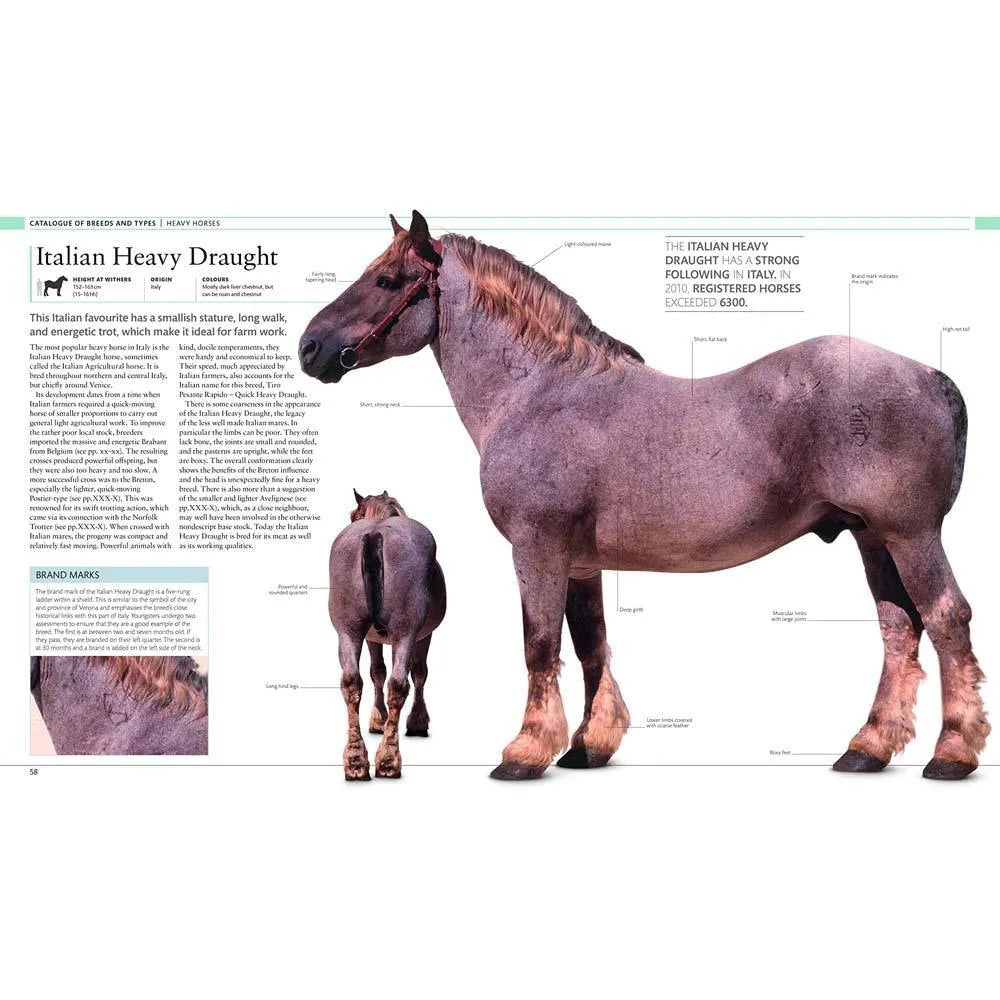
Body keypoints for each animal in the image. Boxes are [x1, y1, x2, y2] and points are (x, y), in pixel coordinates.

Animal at [328, 490, 446, 779]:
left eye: (353, 514)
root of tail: (375, 533)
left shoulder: (371, 637)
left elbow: (376, 673)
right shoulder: (421, 635)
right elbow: (417, 673)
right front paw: (415, 721)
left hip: (348, 630)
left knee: (351, 682)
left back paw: (356, 761)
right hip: (405, 632)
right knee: (399, 684)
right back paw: (389, 759)